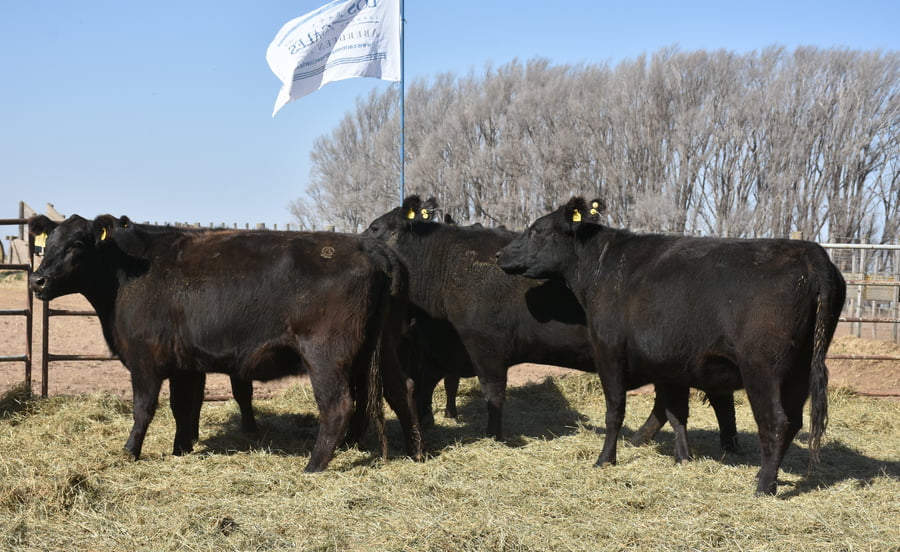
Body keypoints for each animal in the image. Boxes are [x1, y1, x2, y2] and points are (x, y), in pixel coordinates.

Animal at [29, 214, 424, 472]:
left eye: (77, 244)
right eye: (47, 244)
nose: (37, 281)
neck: (128, 273)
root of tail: (367, 246)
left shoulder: (145, 360)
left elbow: (144, 409)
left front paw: (129, 452)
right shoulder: (185, 365)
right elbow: (183, 407)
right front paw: (181, 449)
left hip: (326, 355)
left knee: (339, 405)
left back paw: (313, 465)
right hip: (383, 346)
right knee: (401, 389)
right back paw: (415, 452)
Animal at [364, 196, 739, 459]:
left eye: (375, 228)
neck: (448, 267)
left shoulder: (484, 345)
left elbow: (492, 393)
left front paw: (494, 437)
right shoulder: (438, 348)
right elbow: (424, 388)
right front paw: (428, 424)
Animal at [496, 197, 845, 495]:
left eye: (537, 230)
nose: (499, 255)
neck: (602, 267)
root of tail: (810, 253)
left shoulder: (609, 352)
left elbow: (615, 411)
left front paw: (605, 460)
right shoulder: (669, 364)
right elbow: (677, 414)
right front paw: (683, 458)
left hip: (762, 368)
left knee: (776, 421)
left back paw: (764, 486)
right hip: (800, 369)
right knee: (794, 421)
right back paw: (763, 475)